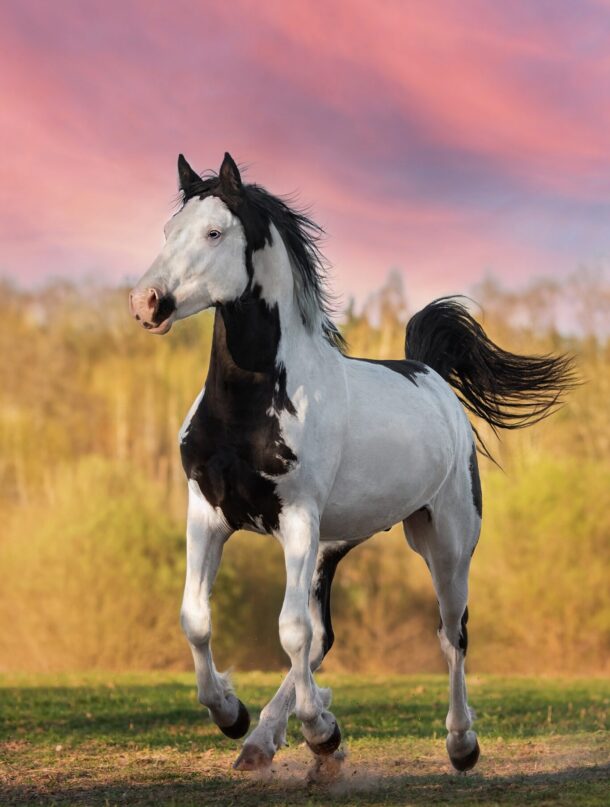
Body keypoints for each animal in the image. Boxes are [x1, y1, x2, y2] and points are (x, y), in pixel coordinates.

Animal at [129, 152, 574, 773]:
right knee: (323, 637)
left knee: (451, 633)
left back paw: (460, 744)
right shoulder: (208, 512)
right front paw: (232, 714)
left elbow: (289, 631)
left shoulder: (296, 517)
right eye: (169, 231)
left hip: (444, 541)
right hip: (331, 546)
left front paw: (317, 731)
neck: (250, 407)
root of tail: (431, 376)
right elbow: (197, 619)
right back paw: (264, 740)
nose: (146, 303)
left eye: (215, 232)